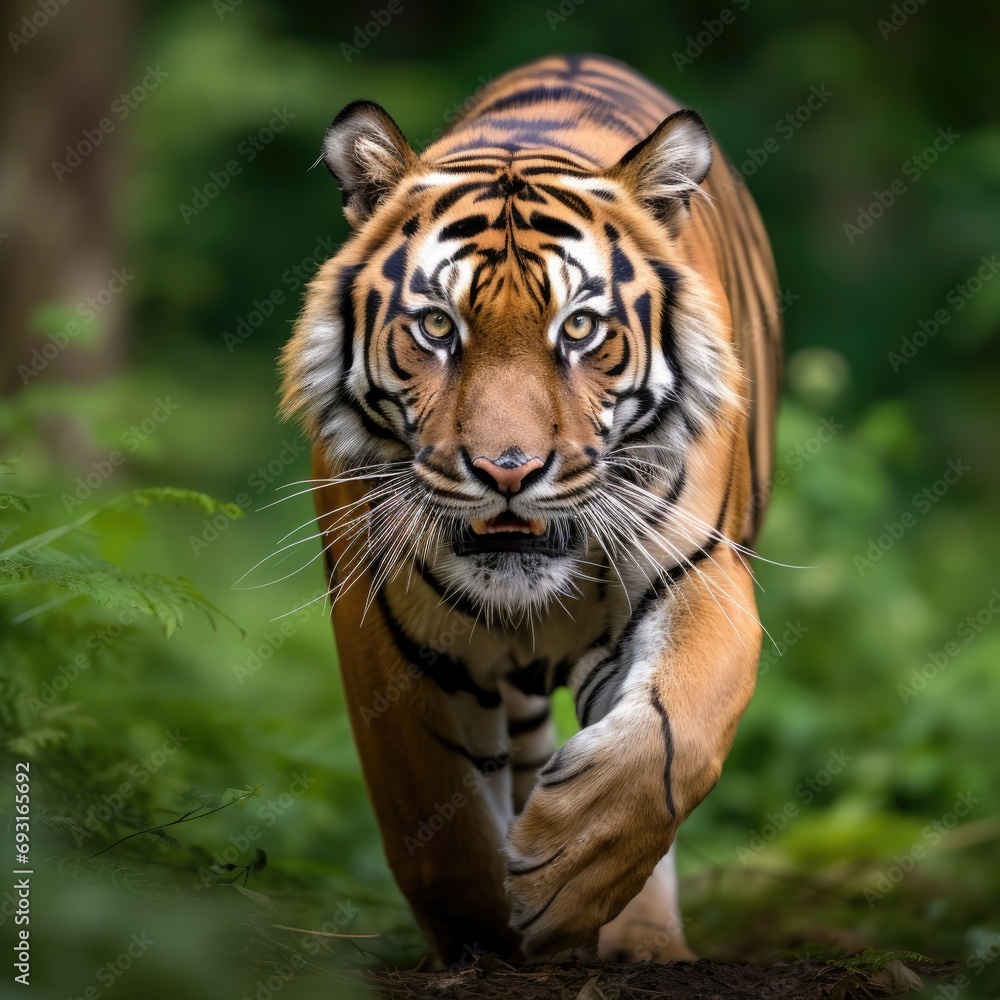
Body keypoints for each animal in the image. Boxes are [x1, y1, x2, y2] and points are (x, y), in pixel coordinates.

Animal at [280, 54, 781, 966]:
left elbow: (672, 737)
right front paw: (488, 938)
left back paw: (643, 938)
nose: (506, 471)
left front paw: (567, 870)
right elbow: (434, 824)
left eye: (579, 329)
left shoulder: (700, 573)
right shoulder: (384, 628)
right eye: (436, 326)